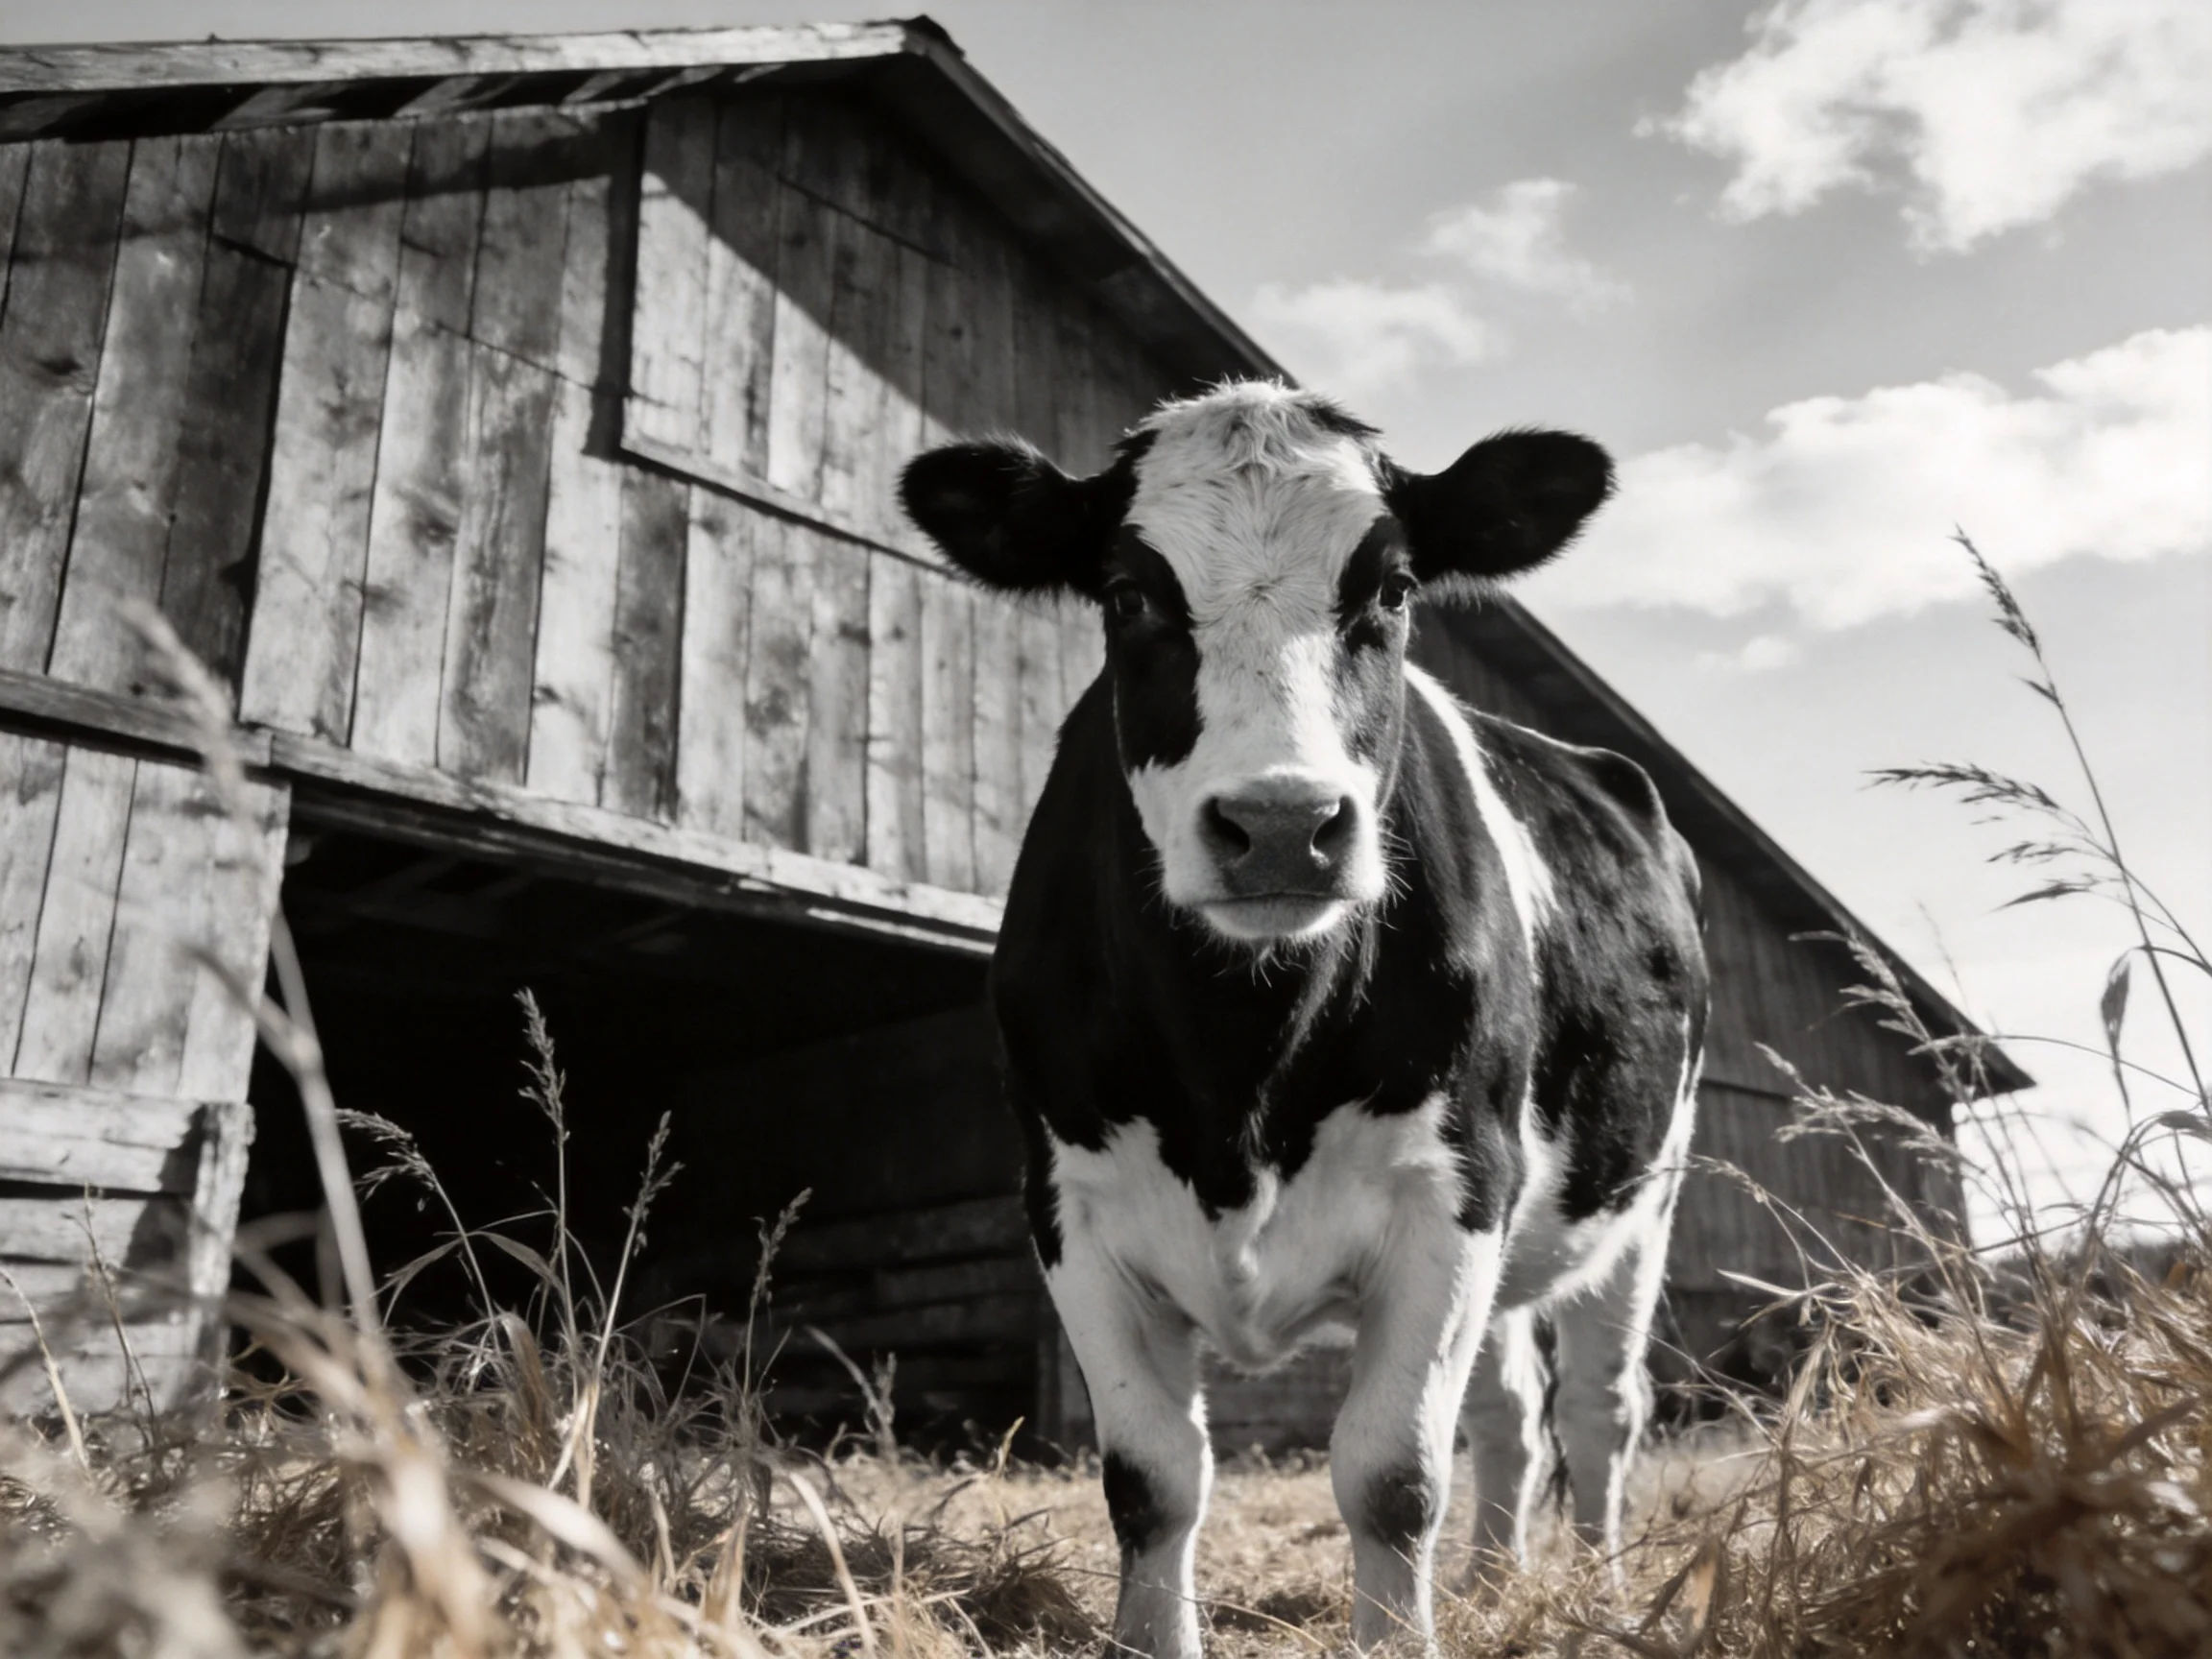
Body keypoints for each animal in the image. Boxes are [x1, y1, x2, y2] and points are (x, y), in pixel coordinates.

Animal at [900, 382, 1707, 1656]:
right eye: (1127, 594)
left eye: (1395, 588)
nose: (1281, 825)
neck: (1239, 1066)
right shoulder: (1067, 1205)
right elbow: (1152, 1479)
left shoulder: (1452, 1190)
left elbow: (1393, 1475)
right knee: (1511, 1411)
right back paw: (1492, 1583)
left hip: (1643, 1193)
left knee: (1598, 1409)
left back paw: (1603, 1593)